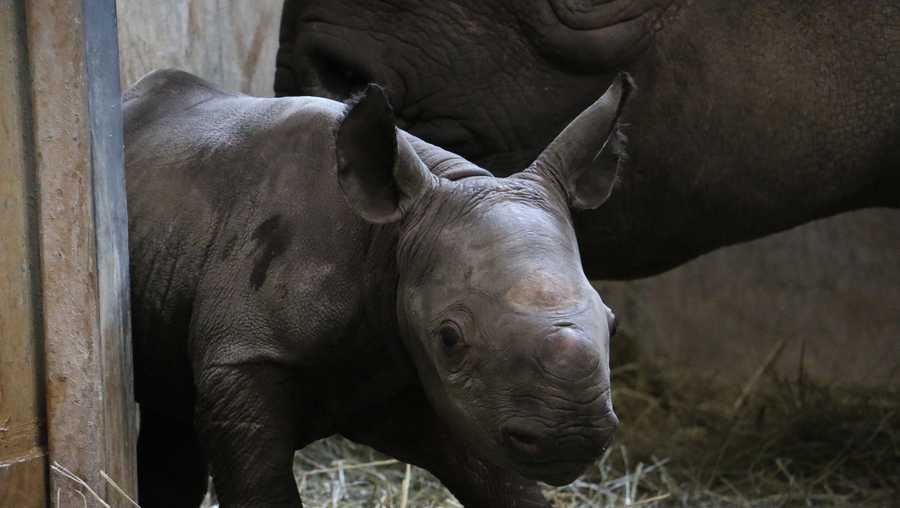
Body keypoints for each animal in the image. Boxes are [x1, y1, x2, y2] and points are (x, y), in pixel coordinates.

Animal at [125, 68, 632, 508]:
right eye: (449, 338)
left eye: (611, 322)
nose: (570, 436)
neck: (392, 241)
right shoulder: (244, 356)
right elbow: (261, 488)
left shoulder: (428, 381)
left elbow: (501, 482)